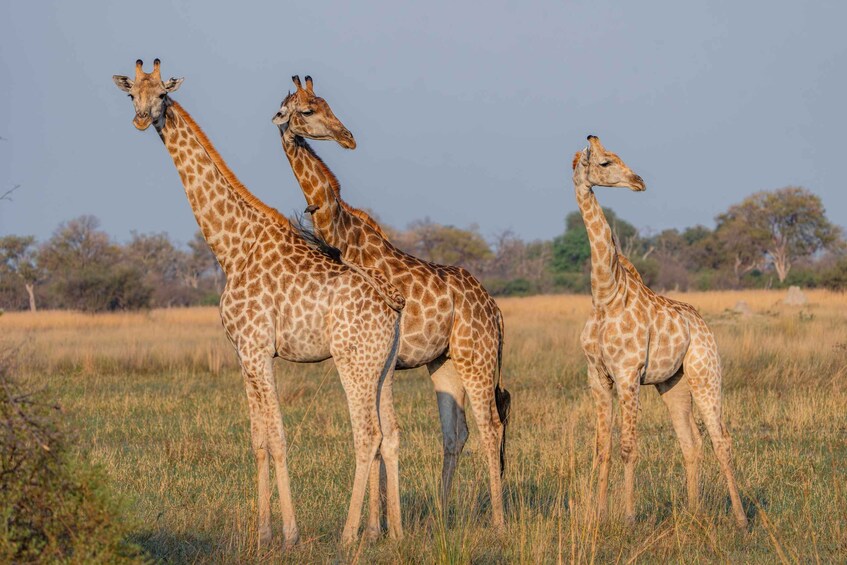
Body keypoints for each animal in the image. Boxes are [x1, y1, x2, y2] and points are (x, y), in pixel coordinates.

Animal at [112, 59, 407, 547]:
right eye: (132, 93)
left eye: (162, 95)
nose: (139, 119)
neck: (231, 246)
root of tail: (394, 303)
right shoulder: (242, 354)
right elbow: (258, 439)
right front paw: (264, 531)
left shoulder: (256, 348)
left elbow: (279, 437)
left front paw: (289, 533)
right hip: (383, 366)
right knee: (390, 433)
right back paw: (390, 533)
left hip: (354, 360)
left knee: (367, 434)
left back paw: (348, 536)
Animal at [271, 75, 511, 531]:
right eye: (308, 110)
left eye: (326, 104)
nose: (347, 137)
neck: (340, 234)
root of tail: (495, 310)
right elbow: (384, 438)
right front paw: (376, 526)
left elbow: (382, 436)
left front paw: (374, 527)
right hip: (444, 362)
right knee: (456, 433)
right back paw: (441, 514)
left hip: (478, 355)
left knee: (490, 424)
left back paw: (499, 522)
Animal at [573, 135, 748, 528]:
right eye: (605, 163)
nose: (638, 181)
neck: (605, 294)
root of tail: (702, 324)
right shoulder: (598, 377)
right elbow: (602, 448)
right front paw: (598, 516)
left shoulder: (628, 373)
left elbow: (628, 448)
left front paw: (628, 518)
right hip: (673, 383)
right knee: (691, 441)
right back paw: (694, 511)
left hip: (705, 373)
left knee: (722, 439)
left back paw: (742, 520)